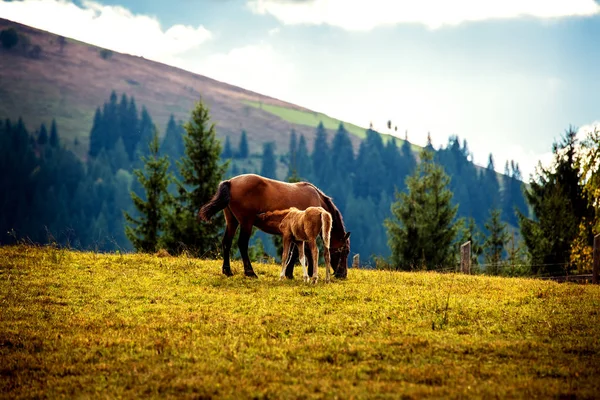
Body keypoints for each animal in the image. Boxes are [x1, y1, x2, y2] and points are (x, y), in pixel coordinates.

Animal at [197, 173, 350, 280]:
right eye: (344, 251)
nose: (342, 274)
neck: (317, 201)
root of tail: (230, 182)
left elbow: (294, 252)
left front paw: (289, 273)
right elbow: (301, 252)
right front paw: (304, 272)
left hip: (232, 221)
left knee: (227, 243)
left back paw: (227, 271)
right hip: (246, 223)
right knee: (242, 244)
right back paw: (250, 272)